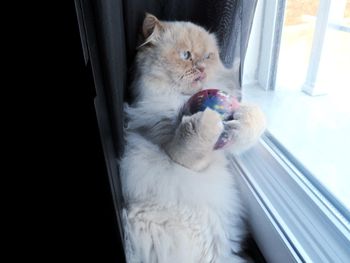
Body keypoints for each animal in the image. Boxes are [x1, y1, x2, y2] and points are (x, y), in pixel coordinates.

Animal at [120, 13, 266, 263]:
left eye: (208, 57)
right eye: (186, 55)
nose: (202, 67)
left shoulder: (224, 150)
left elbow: (252, 122)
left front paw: (241, 118)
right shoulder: (173, 148)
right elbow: (195, 136)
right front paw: (209, 116)